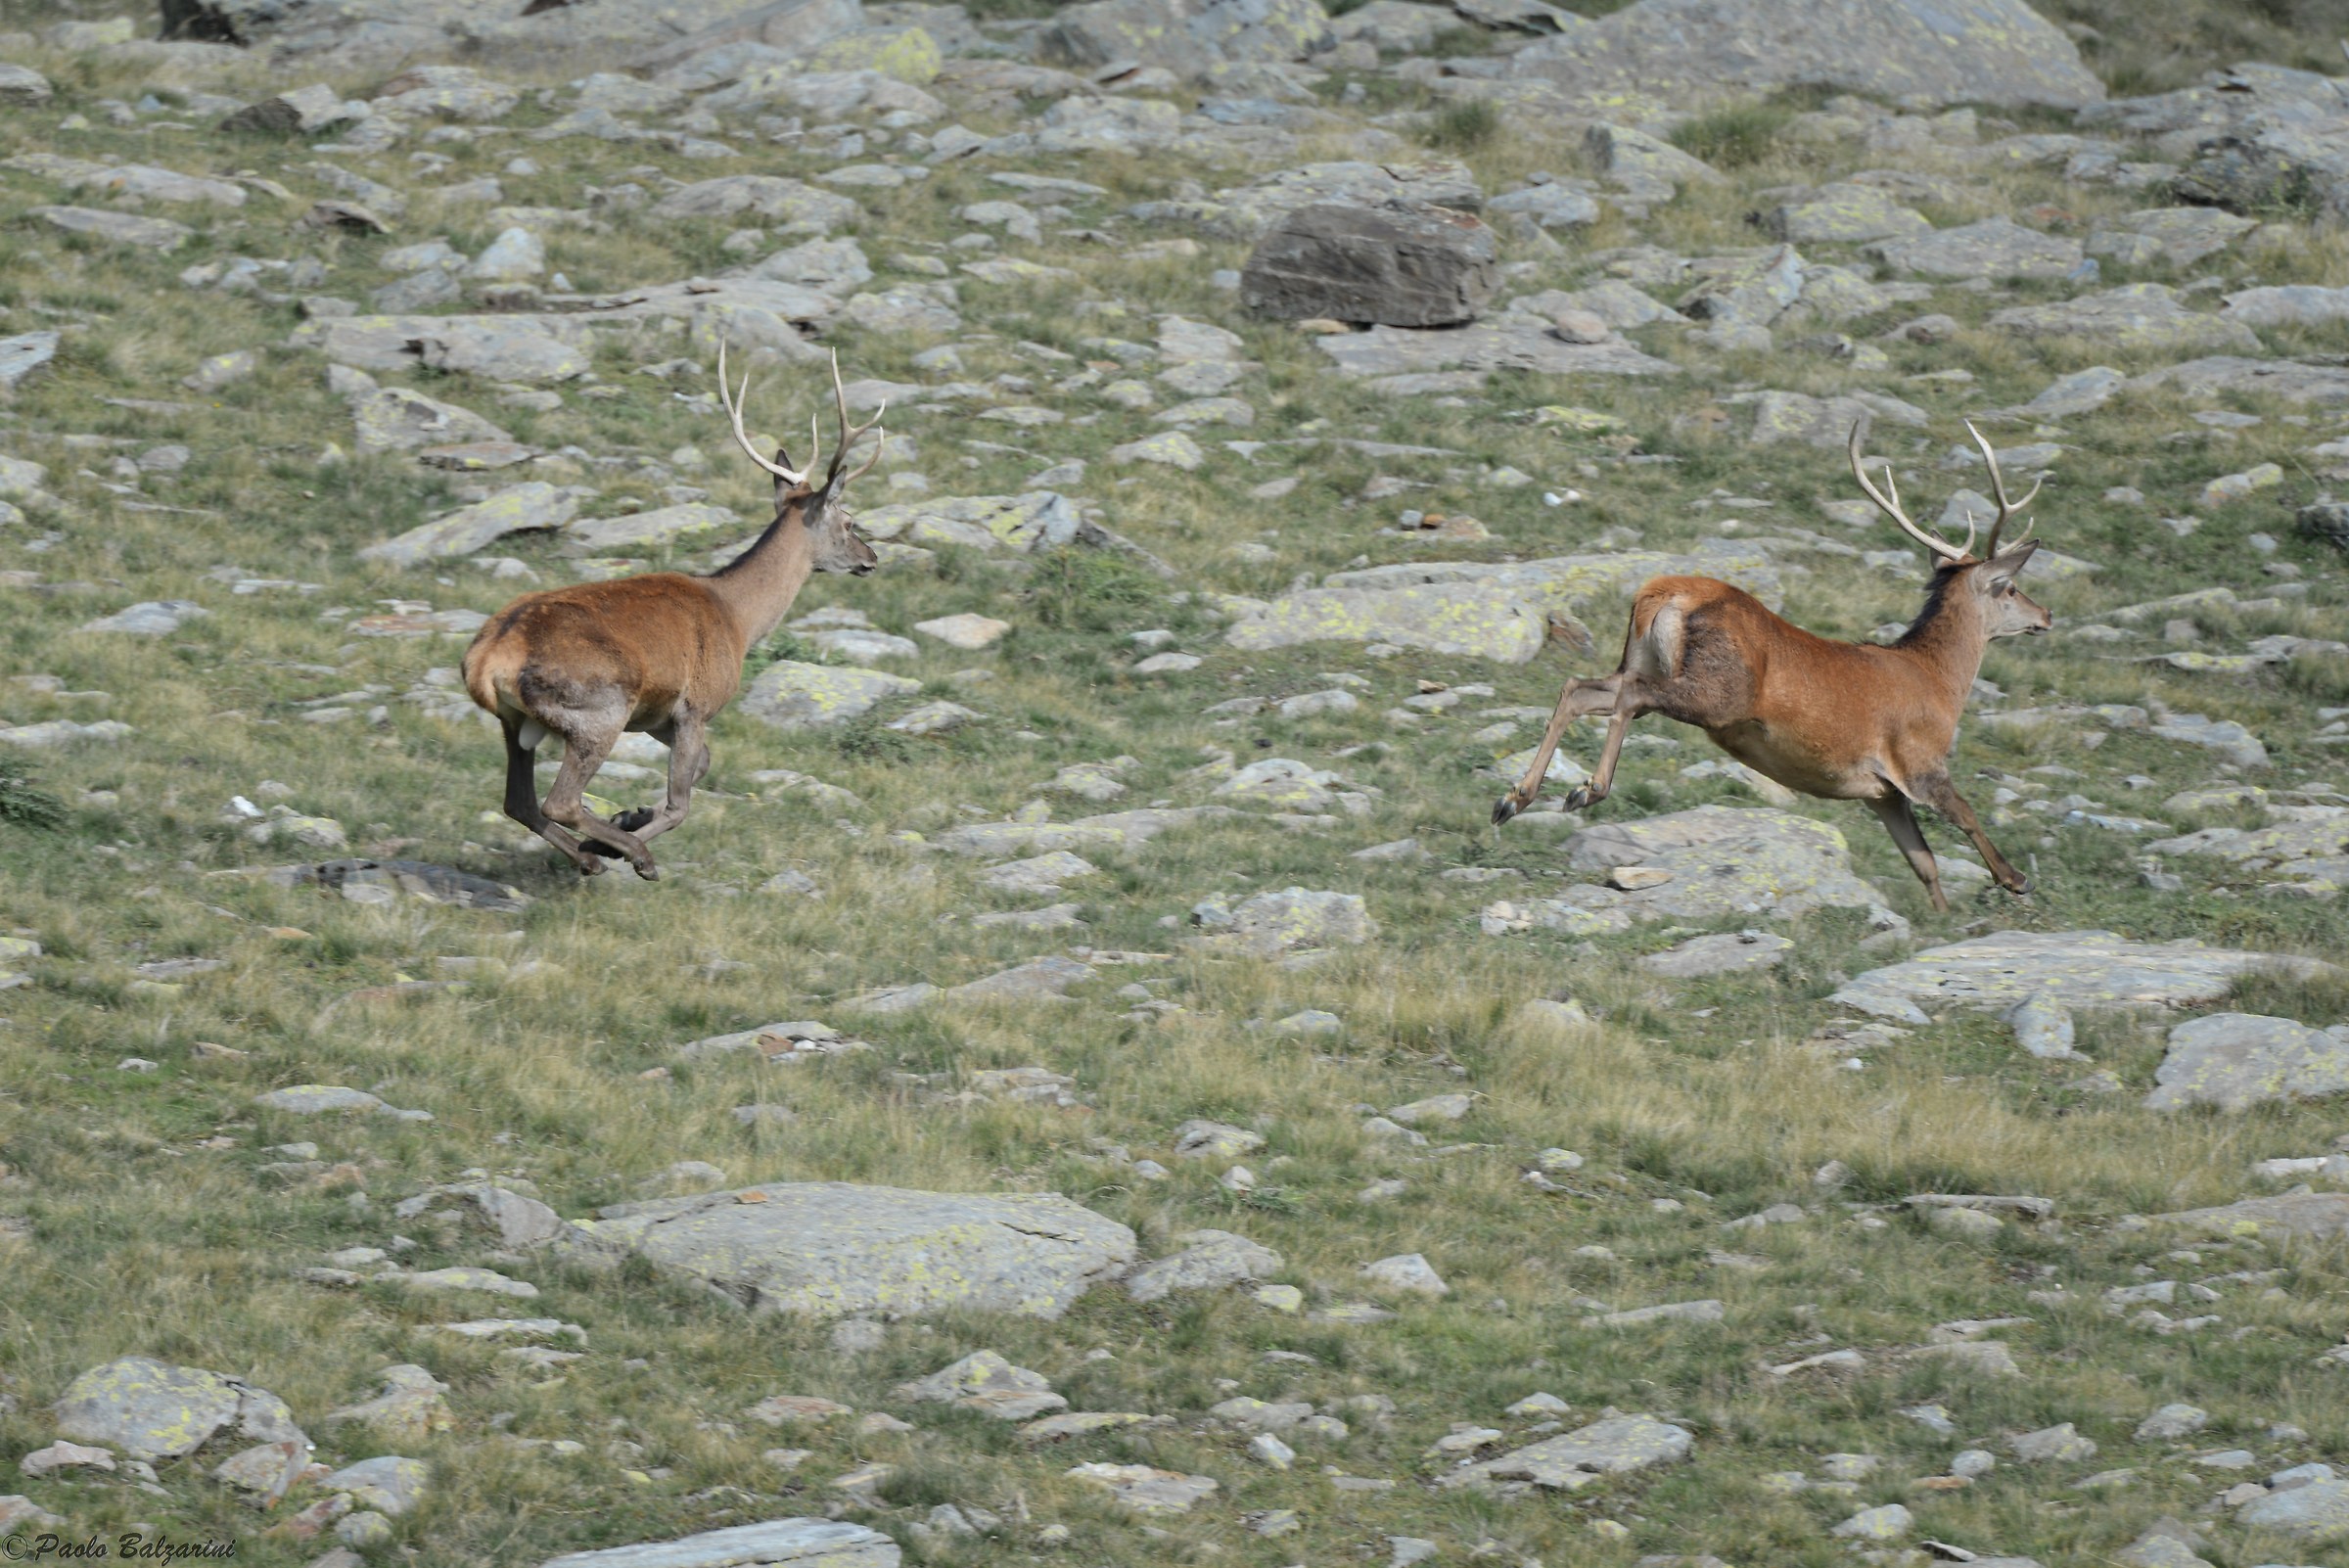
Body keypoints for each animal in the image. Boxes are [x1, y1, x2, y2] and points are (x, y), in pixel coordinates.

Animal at [460, 342, 884, 880]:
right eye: (849, 520)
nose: (872, 557)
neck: (738, 619)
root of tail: (487, 660)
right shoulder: (696, 705)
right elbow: (682, 801)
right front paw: (626, 840)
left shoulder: (658, 715)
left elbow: (701, 767)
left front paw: (626, 818)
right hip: (598, 710)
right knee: (559, 800)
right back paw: (624, 854)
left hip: (516, 723)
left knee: (519, 801)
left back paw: (591, 855)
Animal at [1491, 422, 2051, 912]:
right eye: (2011, 588)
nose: (2046, 615)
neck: (1939, 681)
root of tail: (1662, 594)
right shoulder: (1919, 759)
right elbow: (1965, 814)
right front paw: (2016, 879)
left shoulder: (1881, 793)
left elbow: (1924, 863)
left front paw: (1942, 919)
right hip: (1719, 692)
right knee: (1630, 695)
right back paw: (1586, 790)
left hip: (1644, 660)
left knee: (1580, 687)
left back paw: (1514, 799)